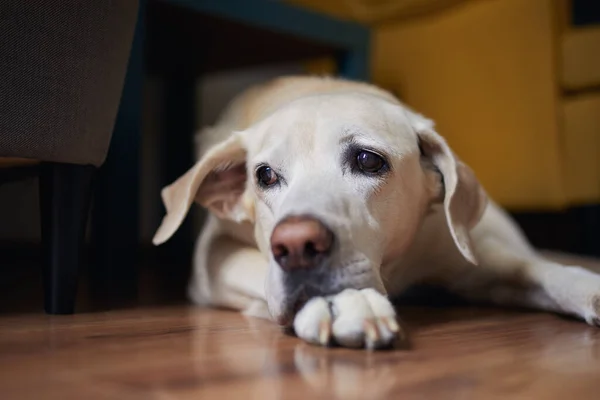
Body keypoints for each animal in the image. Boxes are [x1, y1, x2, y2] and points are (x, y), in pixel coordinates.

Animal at [151, 76, 600, 348]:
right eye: (264, 175)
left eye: (368, 160)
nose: (295, 245)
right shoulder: (211, 258)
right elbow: (256, 266)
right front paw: (340, 302)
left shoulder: (467, 259)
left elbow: (536, 271)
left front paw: (587, 286)